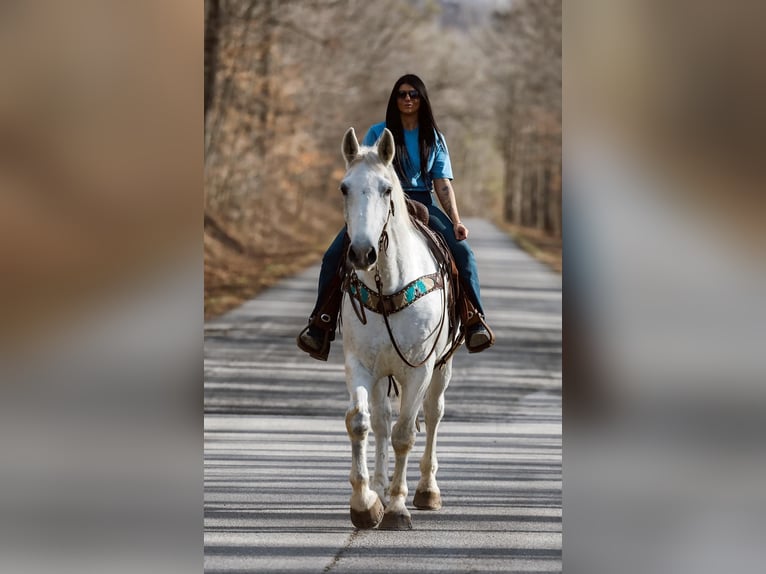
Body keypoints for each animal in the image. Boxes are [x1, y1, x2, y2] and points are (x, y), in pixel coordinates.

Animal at [338, 128, 456, 532]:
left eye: (387, 189)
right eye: (344, 187)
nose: (361, 253)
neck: (388, 283)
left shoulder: (419, 369)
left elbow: (407, 433)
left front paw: (397, 509)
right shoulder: (360, 365)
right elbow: (360, 423)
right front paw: (365, 504)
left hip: (441, 369)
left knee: (432, 416)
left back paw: (426, 490)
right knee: (381, 422)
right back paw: (379, 486)